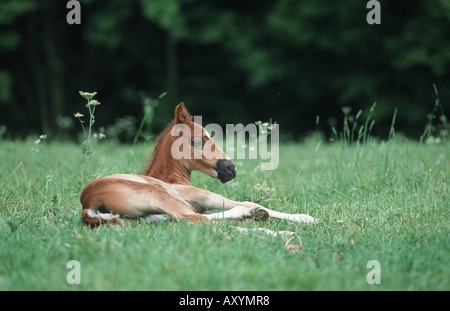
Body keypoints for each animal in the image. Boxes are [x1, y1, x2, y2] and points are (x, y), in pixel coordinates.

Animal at [81, 103, 314, 228]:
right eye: (198, 141)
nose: (231, 169)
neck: (170, 180)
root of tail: (87, 203)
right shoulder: (204, 196)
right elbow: (248, 202)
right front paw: (304, 217)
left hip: (143, 220)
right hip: (165, 199)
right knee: (200, 220)